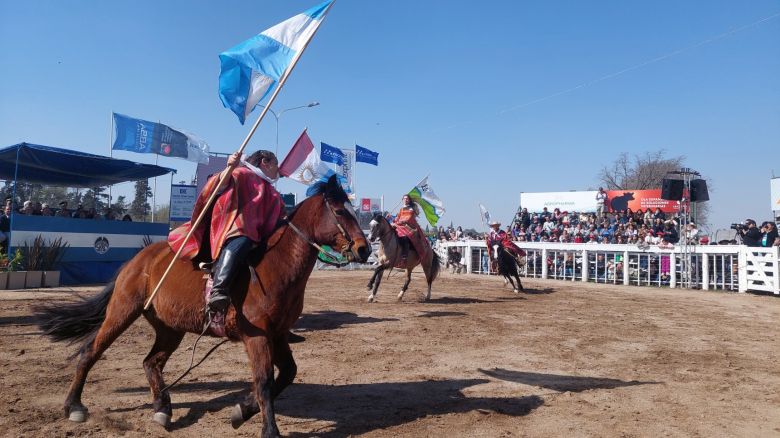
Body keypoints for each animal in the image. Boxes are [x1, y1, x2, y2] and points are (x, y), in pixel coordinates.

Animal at [33, 175, 368, 438]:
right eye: (340, 211)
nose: (364, 249)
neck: (276, 264)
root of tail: (137, 260)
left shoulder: (278, 334)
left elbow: (286, 374)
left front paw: (241, 411)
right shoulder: (258, 337)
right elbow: (264, 381)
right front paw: (268, 429)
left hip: (170, 328)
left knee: (151, 362)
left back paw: (162, 408)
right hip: (122, 312)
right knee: (91, 352)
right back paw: (73, 406)